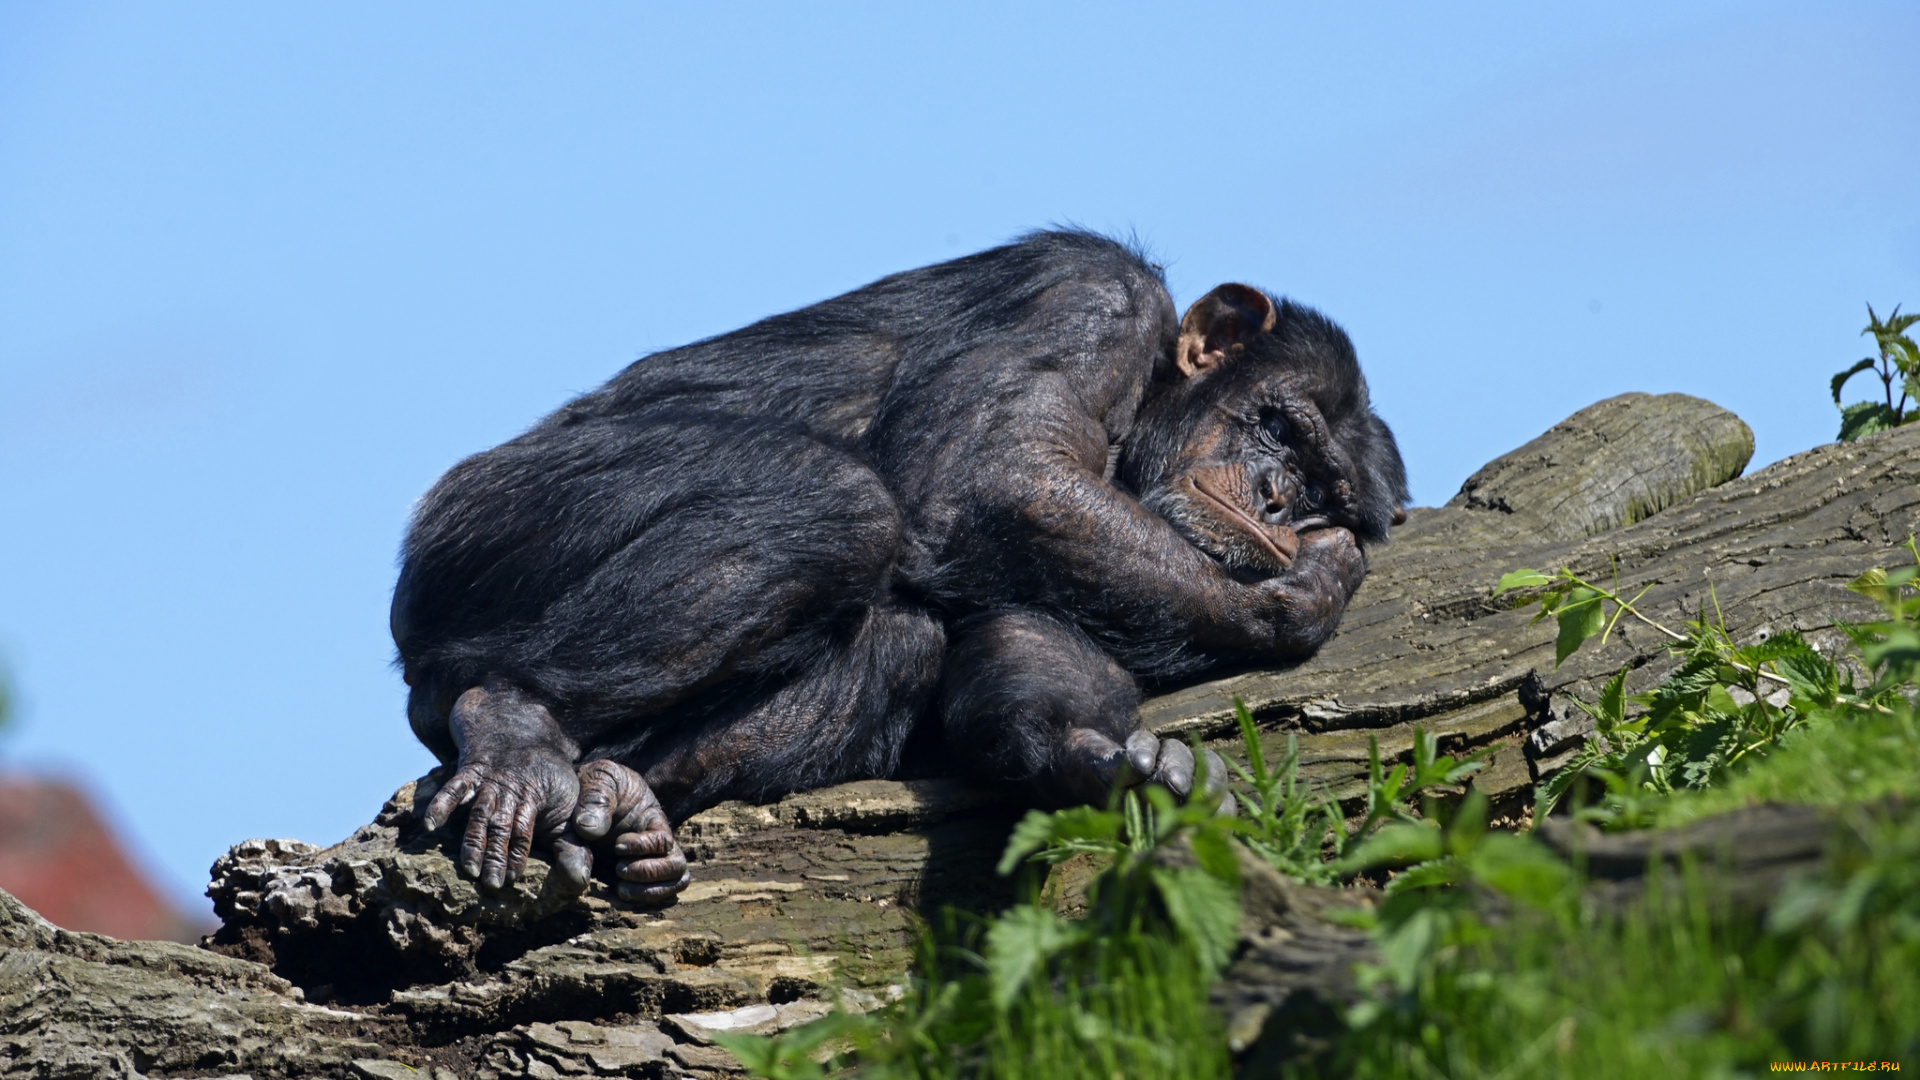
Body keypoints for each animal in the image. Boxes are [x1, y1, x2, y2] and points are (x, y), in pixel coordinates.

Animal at [393, 228, 1413, 899]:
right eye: (1280, 426)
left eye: (1325, 491)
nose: (1277, 500)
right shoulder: (1093, 301)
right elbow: (995, 473)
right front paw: (1299, 598)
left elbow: (1032, 637)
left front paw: (1116, 763)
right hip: (486, 523)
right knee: (838, 502)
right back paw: (514, 725)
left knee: (900, 636)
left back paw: (630, 803)